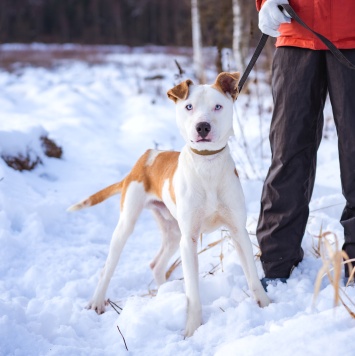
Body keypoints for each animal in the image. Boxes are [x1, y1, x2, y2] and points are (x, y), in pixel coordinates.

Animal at [69, 72, 270, 336]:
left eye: (218, 106)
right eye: (189, 106)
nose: (202, 126)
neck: (207, 165)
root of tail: (146, 157)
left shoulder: (238, 232)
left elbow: (253, 277)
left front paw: (266, 306)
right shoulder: (189, 240)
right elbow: (193, 293)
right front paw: (192, 329)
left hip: (173, 232)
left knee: (156, 265)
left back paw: (165, 293)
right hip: (128, 224)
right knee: (108, 267)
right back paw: (96, 301)